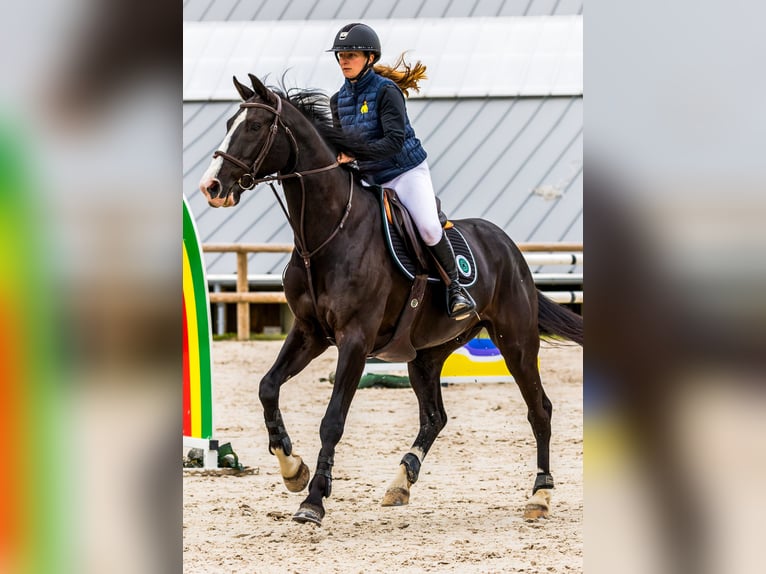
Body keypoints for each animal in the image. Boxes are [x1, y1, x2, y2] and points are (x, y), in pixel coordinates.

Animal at [198, 74, 584, 528]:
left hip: (516, 342)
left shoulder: (355, 340)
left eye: (255, 127)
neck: (327, 233)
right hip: (427, 353)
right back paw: (401, 481)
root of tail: (510, 247)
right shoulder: (310, 333)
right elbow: (267, 387)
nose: (212, 187)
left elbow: (332, 421)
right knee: (435, 416)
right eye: (229, 124)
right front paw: (293, 469)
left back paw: (540, 495)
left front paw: (313, 500)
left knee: (539, 409)